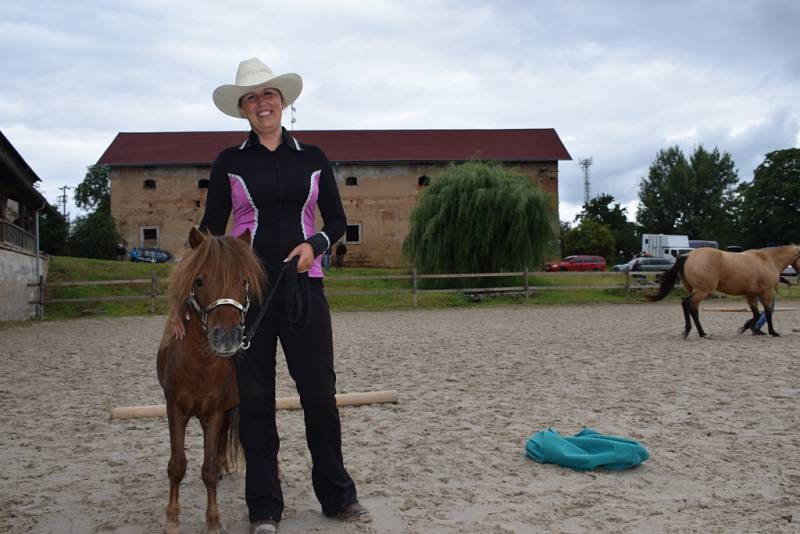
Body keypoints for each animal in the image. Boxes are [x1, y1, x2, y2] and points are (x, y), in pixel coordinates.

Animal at [156, 229, 266, 534]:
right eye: (199, 280)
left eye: (244, 281)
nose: (227, 338)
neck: (199, 366)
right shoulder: (175, 410)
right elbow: (177, 465)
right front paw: (172, 518)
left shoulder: (214, 412)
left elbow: (208, 470)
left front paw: (214, 520)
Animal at [648, 244, 800, 340]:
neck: (768, 260)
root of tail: (688, 255)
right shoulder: (767, 293)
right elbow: (767, 312)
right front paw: (773, 332)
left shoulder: (751, 294)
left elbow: (756, 315)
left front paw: (746, 327)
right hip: (702, 291)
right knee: (686, 304)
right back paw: (689, 331)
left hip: (695, 290)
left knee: (693, 309)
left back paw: (702, 333)